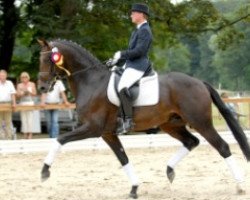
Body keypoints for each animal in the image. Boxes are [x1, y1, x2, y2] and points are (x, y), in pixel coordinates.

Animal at [37, 39, 250, 198]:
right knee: (191, 141)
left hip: (200, 122)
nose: (42, 87)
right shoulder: (107, 133)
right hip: (171, 124)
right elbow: (123, 158)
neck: (91, 81)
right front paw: (134, 189)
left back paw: (239, 186)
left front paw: (45, 171)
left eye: (49, 59)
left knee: (222, 147)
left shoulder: (93, 128)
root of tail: (199, 82)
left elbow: (60, 139)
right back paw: (169, 170)